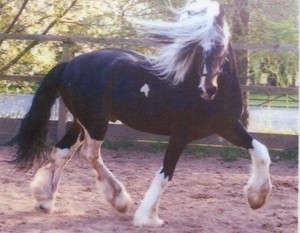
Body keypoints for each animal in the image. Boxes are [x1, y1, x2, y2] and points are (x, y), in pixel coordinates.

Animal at [11, 0, 272, 228]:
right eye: (198, 48)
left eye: (219, 46)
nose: (207, 89)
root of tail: (69, 65)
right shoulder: (181, 135)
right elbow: (165, 173)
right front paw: (148, 217)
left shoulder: (228, 126)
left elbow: (261, 151)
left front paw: (257, 198)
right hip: (96, 123)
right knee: (89, 154)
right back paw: (119, 199)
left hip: (81, 121)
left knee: (63, 151)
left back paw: (45, 200)